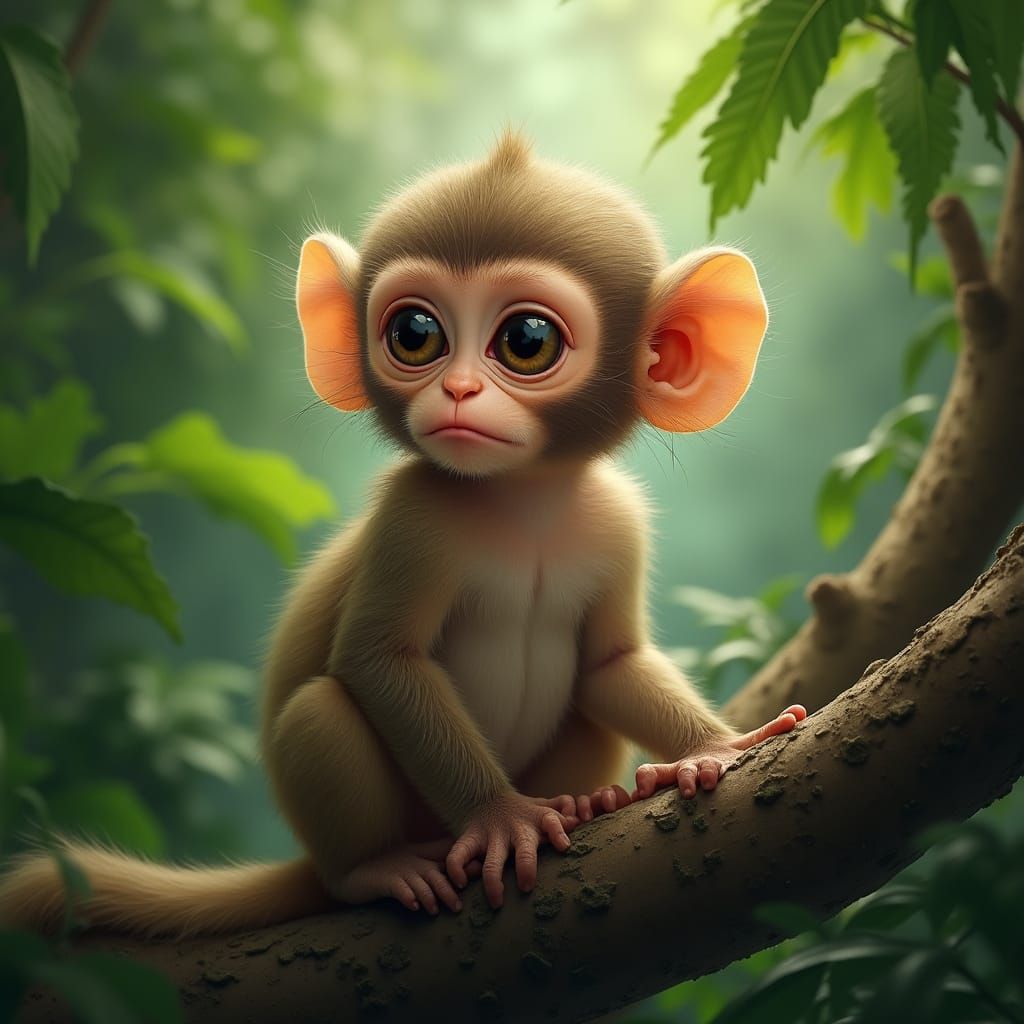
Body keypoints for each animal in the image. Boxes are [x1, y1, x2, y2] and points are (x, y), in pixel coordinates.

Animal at [0, 131, 805, 937]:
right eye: (416, 334)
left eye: (527, 340)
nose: (457, 390)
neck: (524, 505)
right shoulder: (411, 519)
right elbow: (379, 661)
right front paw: (501, 818)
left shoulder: (619, 524)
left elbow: (610, 664)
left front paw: (711, 748)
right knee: (323, 713)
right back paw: (375, 868)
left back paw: (591, 799)